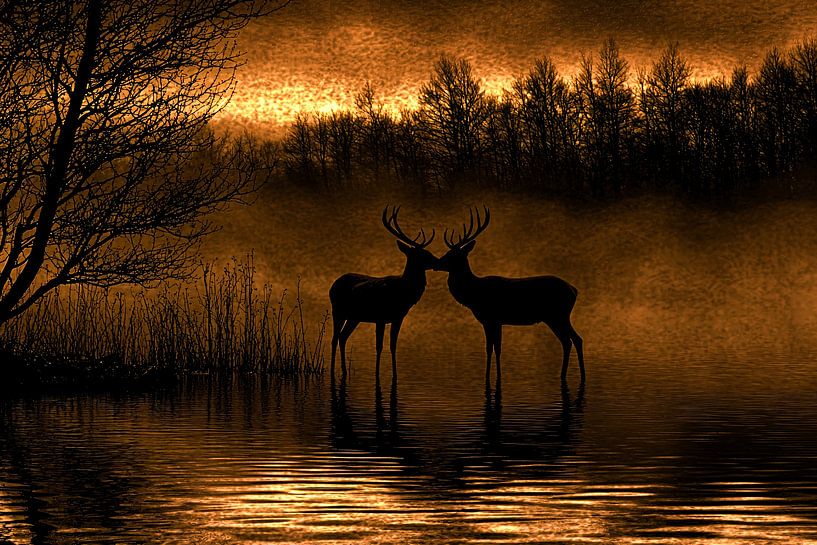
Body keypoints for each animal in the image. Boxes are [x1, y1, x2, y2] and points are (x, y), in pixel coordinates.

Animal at [329, 206, 437, 381]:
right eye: (422, 254)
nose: (438, 261)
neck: (403, 292)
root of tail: (332, 285)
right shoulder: (380, 317)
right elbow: (379, 346)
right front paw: (377, 374)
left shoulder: (398, 317)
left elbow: (393, 345)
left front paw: (395, 374)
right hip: (337, 310)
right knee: (334, 338)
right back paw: (333, 371)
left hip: (354, 317)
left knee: (342, 336)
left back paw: (344, 370)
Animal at [434, 207, 585, 384]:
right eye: (447, 252)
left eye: (453, 255)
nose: (436, 263)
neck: (473, 294)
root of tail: (574, 290)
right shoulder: (496, 321)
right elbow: (495, 348)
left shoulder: (490, 318)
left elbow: (491, 348)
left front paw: (491, 377)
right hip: (557, 317)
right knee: (573, 339)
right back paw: (573, 375)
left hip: (557, 315)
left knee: (570, 340)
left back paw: (568, 375)